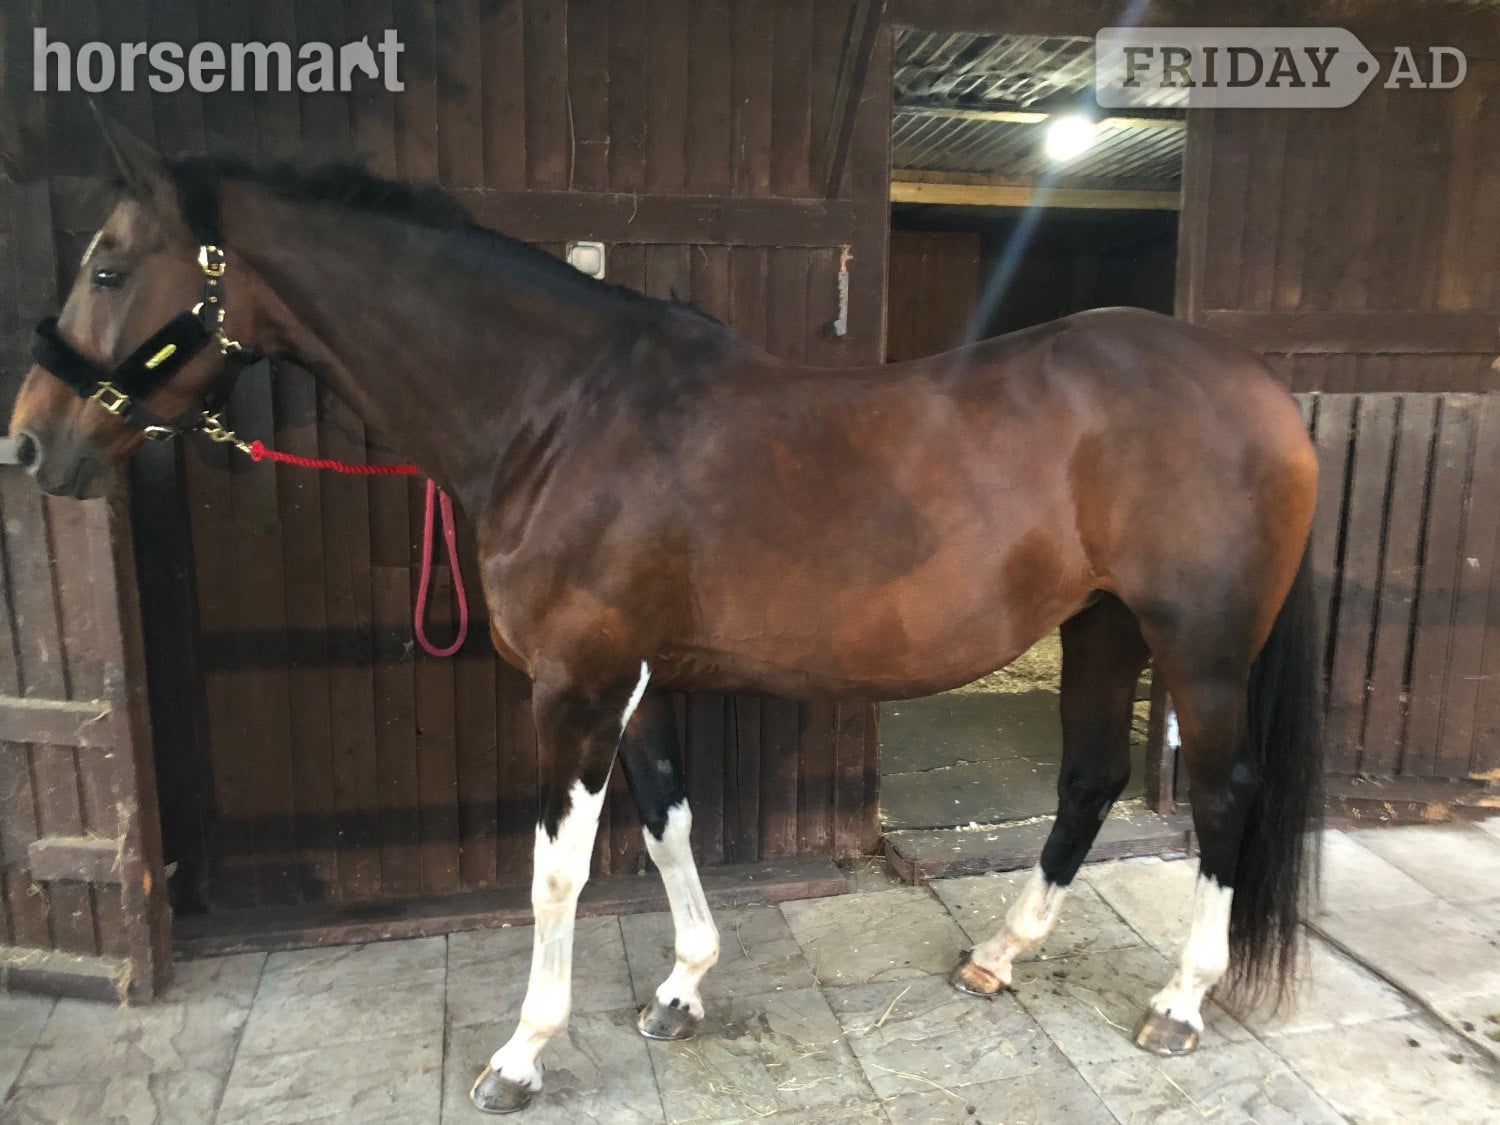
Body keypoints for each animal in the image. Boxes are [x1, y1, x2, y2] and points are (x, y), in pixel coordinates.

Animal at [11, 116, 1323, 1115]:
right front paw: (684, 988)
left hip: (1199, 651)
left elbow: (557, 877)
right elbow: (668, 827)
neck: (559, 413)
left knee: (1222, 798)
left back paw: (1180, 1002)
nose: (29, 444)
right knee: (1090, 776)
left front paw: (522, 1055)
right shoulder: (633, 683)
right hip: (1100, 626)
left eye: (109, 267)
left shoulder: (575, 687)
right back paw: (998, 958)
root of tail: (1260, 386)